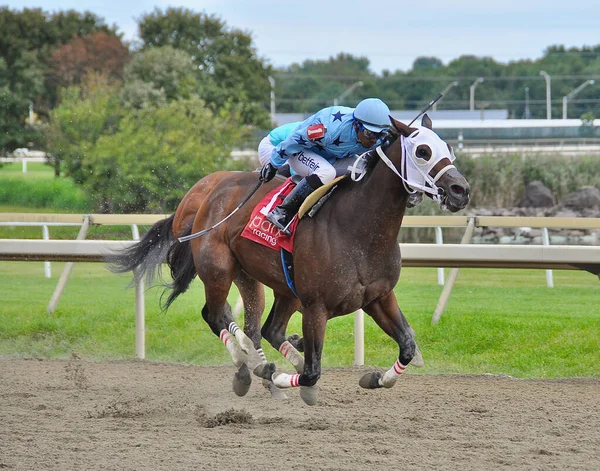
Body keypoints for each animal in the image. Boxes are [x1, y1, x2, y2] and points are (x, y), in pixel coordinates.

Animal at [110, 115, 472, 406]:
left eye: (447, 147)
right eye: (422, 151)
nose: (460, 190)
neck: (358, 228)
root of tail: (208, 194)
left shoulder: (378, 297)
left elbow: (408, 345)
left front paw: (374, 378)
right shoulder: (315, 306)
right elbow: (312, 371)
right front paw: (283, 377)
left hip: (267, 282)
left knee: (263, 328)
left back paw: (263, 367)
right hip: (220, 269)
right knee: (216, 316)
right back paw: (251, 369)